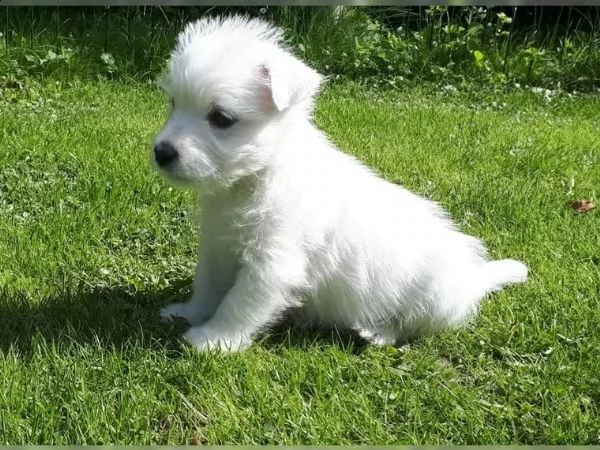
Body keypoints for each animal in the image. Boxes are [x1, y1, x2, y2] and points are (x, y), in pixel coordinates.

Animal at [152, 14, 528, 352]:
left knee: (409, 326)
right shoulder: (217, 247)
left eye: (221, 118)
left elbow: (238, 304)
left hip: (433, 298)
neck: (256, 177)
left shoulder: (272, 264)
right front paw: (188, 313)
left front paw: (213, 339)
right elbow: (208, 286)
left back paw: (377, 332)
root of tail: (472, 279)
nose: (161, 152)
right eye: (173, 104)